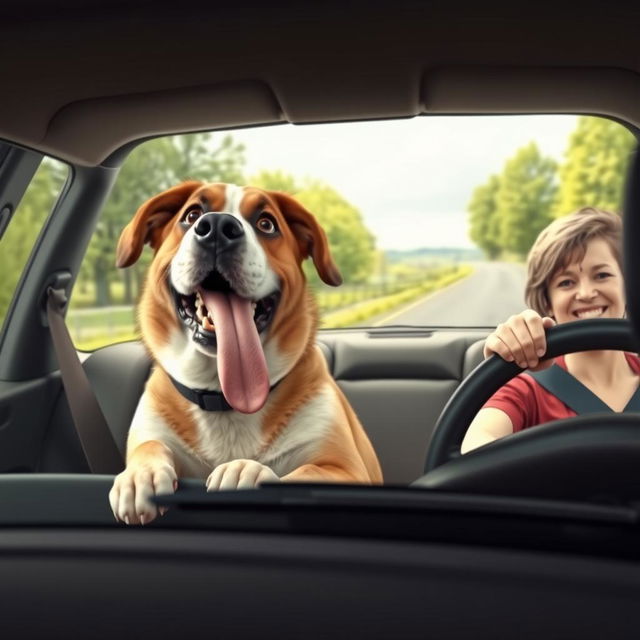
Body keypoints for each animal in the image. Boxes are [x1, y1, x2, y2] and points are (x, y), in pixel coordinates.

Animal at [107, 181, 382, 524]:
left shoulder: (346, 471)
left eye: (266, 224)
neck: (223, 399)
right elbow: (151, 445)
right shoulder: (153, 429)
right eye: (192, 214)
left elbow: (300, 474)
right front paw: (139, 475)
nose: (216, 228)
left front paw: (245, 470)